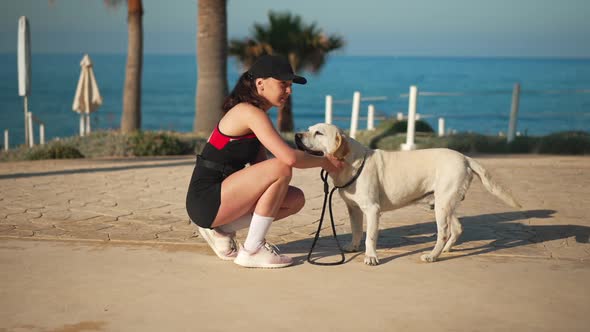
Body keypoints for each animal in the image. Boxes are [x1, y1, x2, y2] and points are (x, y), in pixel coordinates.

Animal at [296, 123, 524, 266]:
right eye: (308, 130)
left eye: (318, 133)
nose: (297, 135)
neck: (350, 162)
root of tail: (465, 157)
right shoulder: (354, 209)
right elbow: (356, 230)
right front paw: (352, 247)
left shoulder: (372, 210)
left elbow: (370, 236)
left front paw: (371, 257)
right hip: (444, 202)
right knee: (457, 228)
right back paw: (446, 250)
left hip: (442, 204)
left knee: (443, 232)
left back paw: (433, 256)